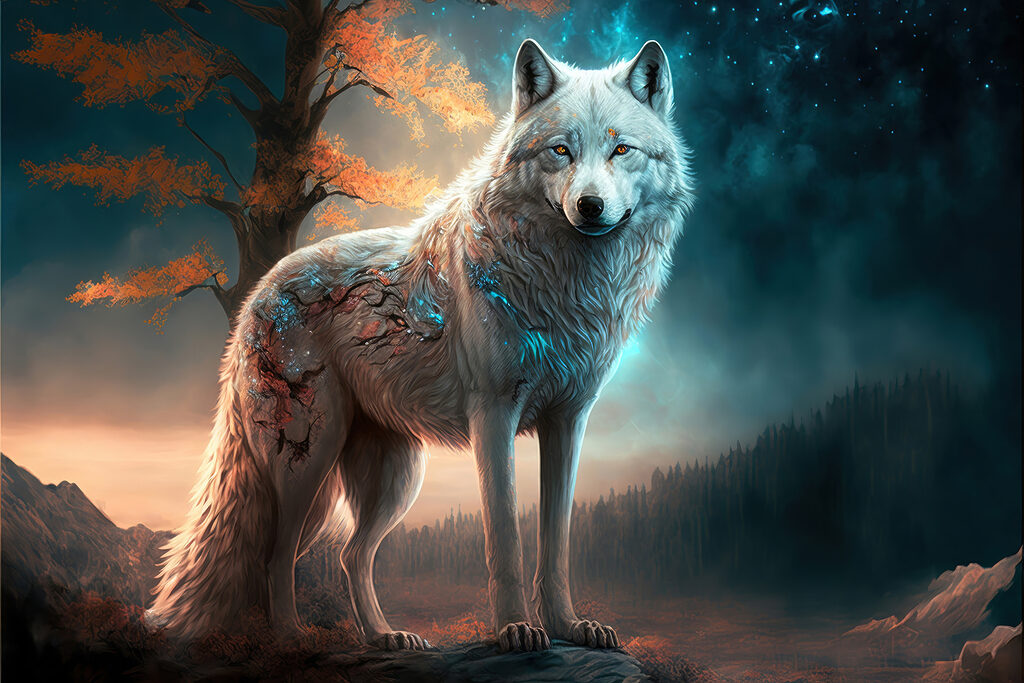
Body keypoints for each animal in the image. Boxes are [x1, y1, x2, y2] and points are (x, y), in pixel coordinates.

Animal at [149, 38, 694, 652]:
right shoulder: (493, 415)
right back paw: (294, 638)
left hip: (395, 479)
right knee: (276, 555)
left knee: (350, 555)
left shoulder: (568, 421)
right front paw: (516, 629)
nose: (590, 206)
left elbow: (555, 546)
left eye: (622, 150)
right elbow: (505, 540)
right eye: (561, 151)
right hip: (307, 461)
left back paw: (385, 637)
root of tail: (256, 295)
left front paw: (569, 628)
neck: (564, 283)